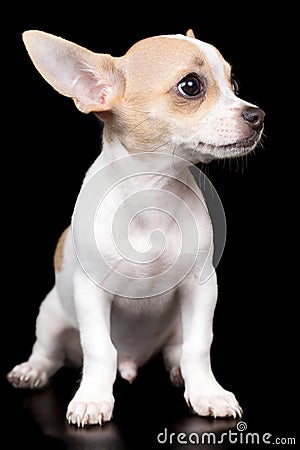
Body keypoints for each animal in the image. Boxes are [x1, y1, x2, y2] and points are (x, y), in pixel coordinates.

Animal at [7, 29, 264, 426]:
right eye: (191, 86)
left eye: (233, 83)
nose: (258, 114)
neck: (151, 196)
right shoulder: (91, 294)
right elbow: (99, 349)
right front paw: (93, 398)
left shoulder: (202, 289)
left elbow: (198, 347)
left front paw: (207, 392)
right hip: (50, 317)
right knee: (49, 352)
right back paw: (33, 370)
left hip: (176, 325)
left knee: (177, 350)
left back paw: (177, 372)